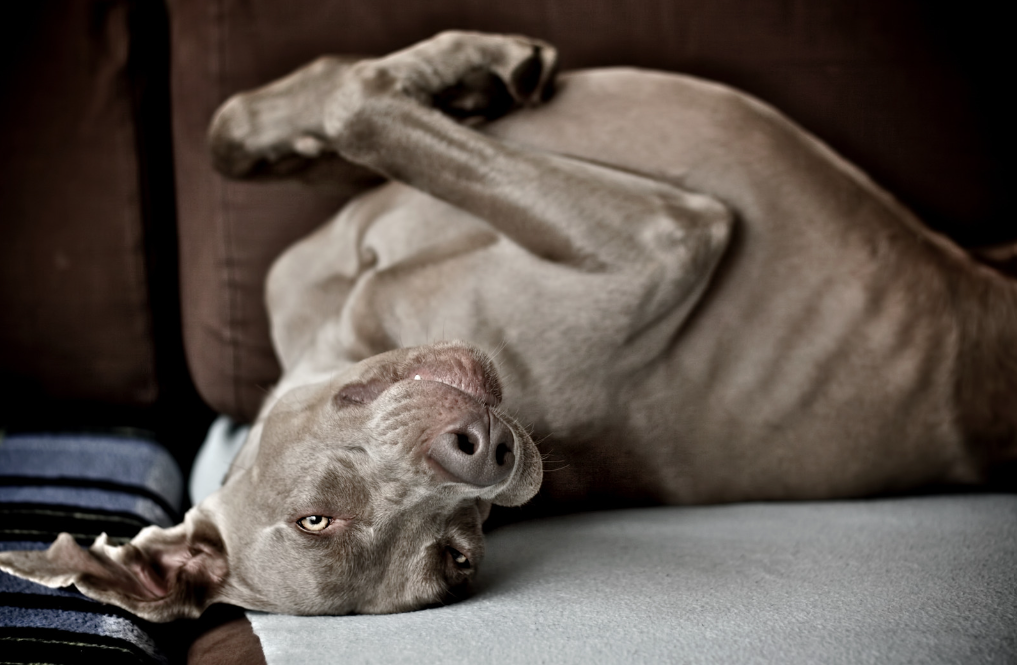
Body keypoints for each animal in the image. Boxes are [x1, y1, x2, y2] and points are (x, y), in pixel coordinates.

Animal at [1, 31, 1016, 622]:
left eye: (312, 516)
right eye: (459, 556)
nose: (484, 451)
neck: (347, 325)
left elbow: (267, 118)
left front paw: (463, 74)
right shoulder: (668, 238)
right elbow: (357, 106)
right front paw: (455, 72)